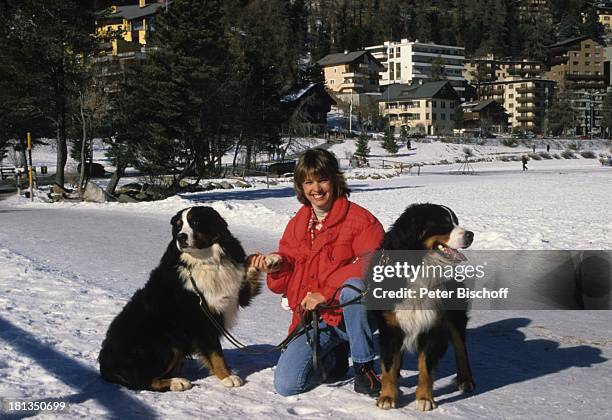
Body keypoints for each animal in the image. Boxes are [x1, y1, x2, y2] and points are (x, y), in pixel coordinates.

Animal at [99, 205, 262, 392]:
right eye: (178, 227)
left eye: (196, 221)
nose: (181, 237)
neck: (205, 261)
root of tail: (105, 366)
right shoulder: (201, 318)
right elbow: (216, 353)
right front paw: (227, 376)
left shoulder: (234, 296)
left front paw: (265, 261)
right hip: (166, 341)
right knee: (144, 381)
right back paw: (177, 382)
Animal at [370, 203, 476, 410]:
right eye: (444, 223)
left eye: (455, 221)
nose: (471, 234)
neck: (420, 270)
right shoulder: (390, 326)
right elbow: (389, 365)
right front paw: (387, 397)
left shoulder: (432, 326)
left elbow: (426, 367)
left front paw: (425, 399)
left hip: (455, 316)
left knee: (461, 348)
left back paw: (465, 380)